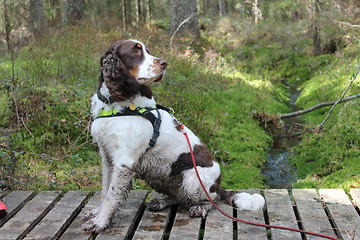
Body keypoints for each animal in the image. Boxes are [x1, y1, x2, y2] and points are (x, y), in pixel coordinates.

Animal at [84, 39, 264, 232]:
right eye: (136, 52)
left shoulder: (124, 161)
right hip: (158, 174)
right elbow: (105, 190)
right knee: (179, 197)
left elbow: (112, 196)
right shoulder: (107, 157)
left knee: (211, 200)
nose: (164, 63)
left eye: (147, 50)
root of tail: (218, 186)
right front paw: (96, 214)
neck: (116, 105)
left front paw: (99, 222)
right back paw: (161, 202)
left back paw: (199, 207)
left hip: (193, 179)